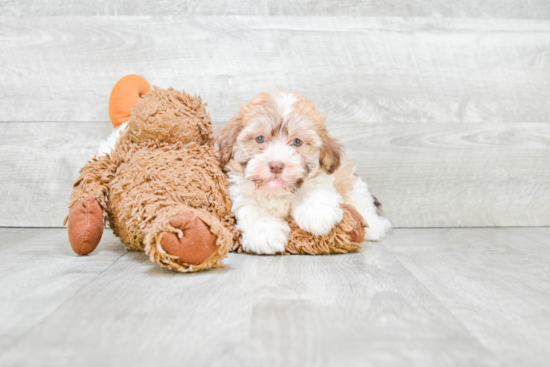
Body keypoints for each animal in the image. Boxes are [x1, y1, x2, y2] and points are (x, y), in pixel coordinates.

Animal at [216, 90, 392, 254]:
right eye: (260, 138)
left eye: (297, 142)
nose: (276, 165)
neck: (278, 192)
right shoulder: (242, 195)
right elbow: (253, 210)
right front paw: (265, 232)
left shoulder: (323, 179)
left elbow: (315, 191)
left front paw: (317, 214)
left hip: (353, 183)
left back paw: (375, 226)